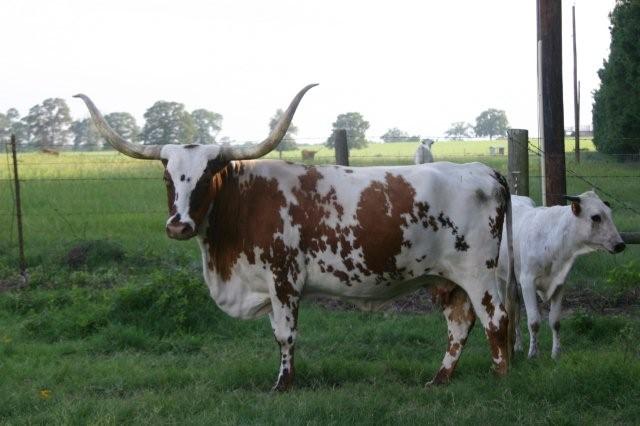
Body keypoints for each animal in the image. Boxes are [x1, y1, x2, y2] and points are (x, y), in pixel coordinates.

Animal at [75, 84, 518, 390]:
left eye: (206, 177)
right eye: (168, 179)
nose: (178, 225)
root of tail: (483, 170)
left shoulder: (283, 279)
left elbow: (285, 335)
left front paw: (282, 386)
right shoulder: (267, 285)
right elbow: (279, 334)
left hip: (479, 273)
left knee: (496, 318)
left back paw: (501, 379)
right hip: (446, 279)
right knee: (459, 325)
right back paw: (439, 379)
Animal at [497, 191, 626, 359]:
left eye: (610, 214)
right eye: (596, 217)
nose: (620, 244)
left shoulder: (559, 283)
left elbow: (555, 321)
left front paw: (556, 353)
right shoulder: (527, 282)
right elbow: (534, 321)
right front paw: (533, 354)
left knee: (516, 313)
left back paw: (517, 345)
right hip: (500, 278)